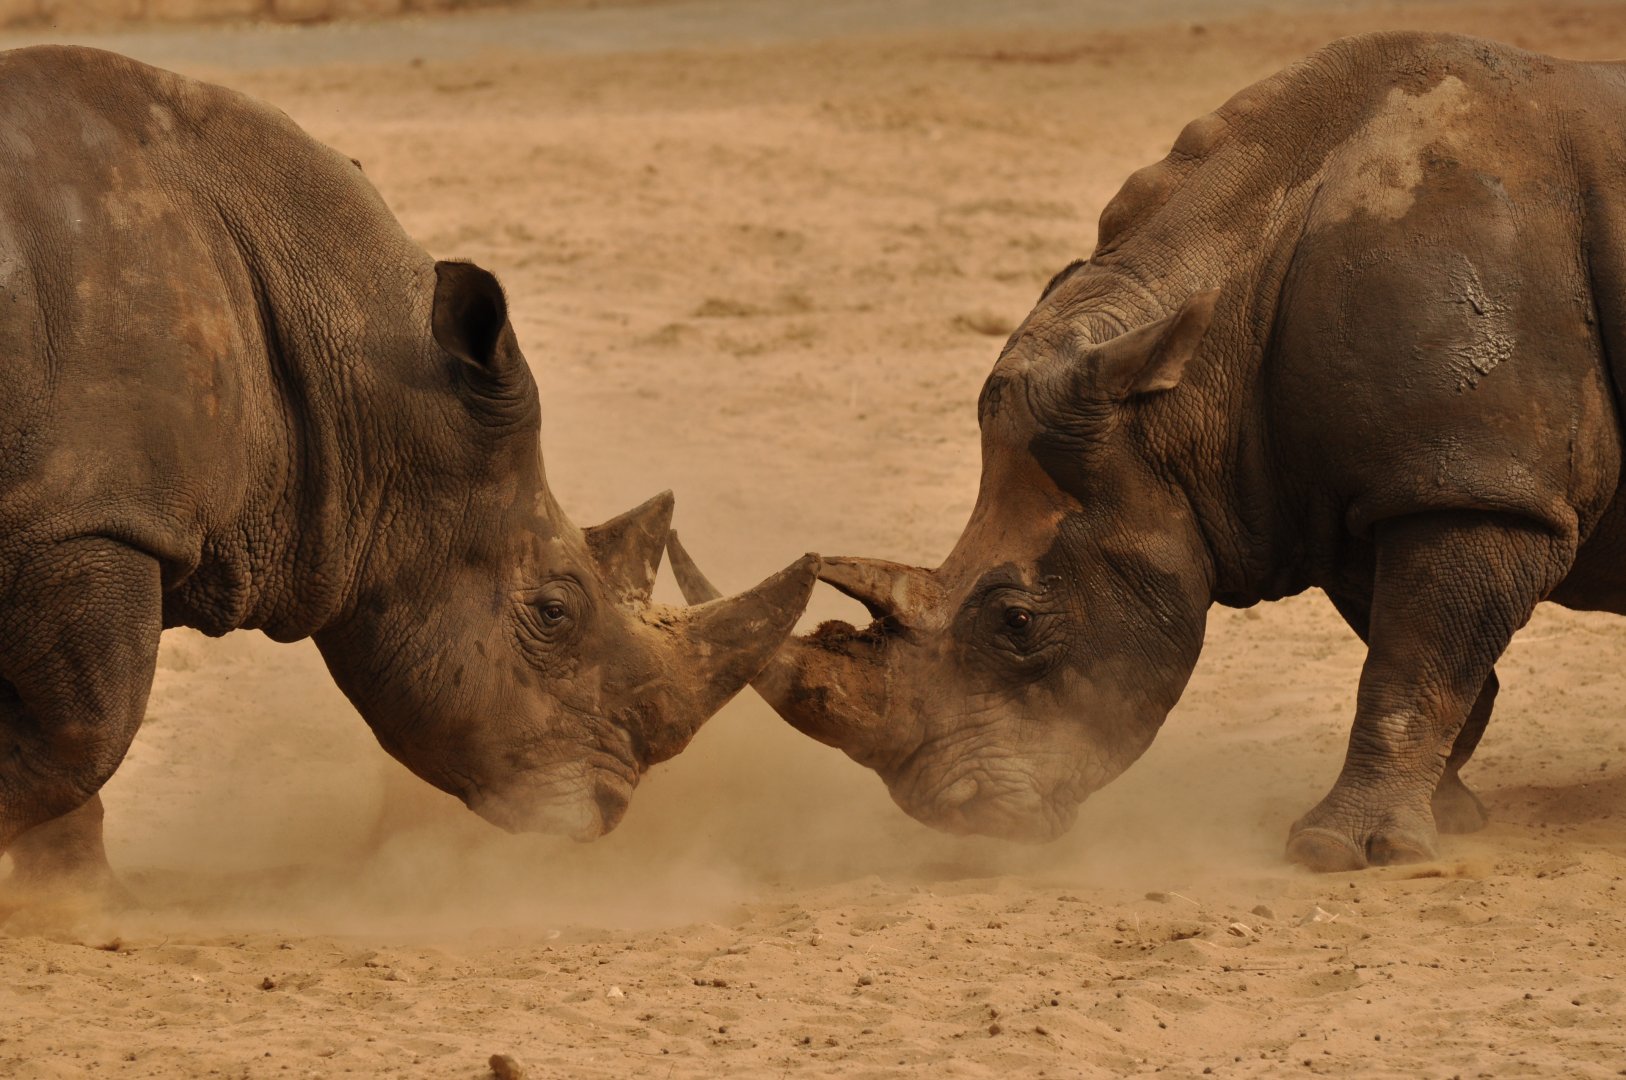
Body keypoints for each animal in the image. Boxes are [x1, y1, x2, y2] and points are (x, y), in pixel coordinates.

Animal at [0, 45, 816, 901]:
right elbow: (91, 726)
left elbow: (69, 740)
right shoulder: (89, 518)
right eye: (554, 611)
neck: (362, 381)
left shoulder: (94, 514)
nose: (602, 814)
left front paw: (80, 902)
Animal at [674, 31, 1626, 871]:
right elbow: (1424, 653)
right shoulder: (1391, 485)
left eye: (1018, 622)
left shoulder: (1478, 484)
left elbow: (1411, 665)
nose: (957, 816)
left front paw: (1344, 853)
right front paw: (1450, 816)